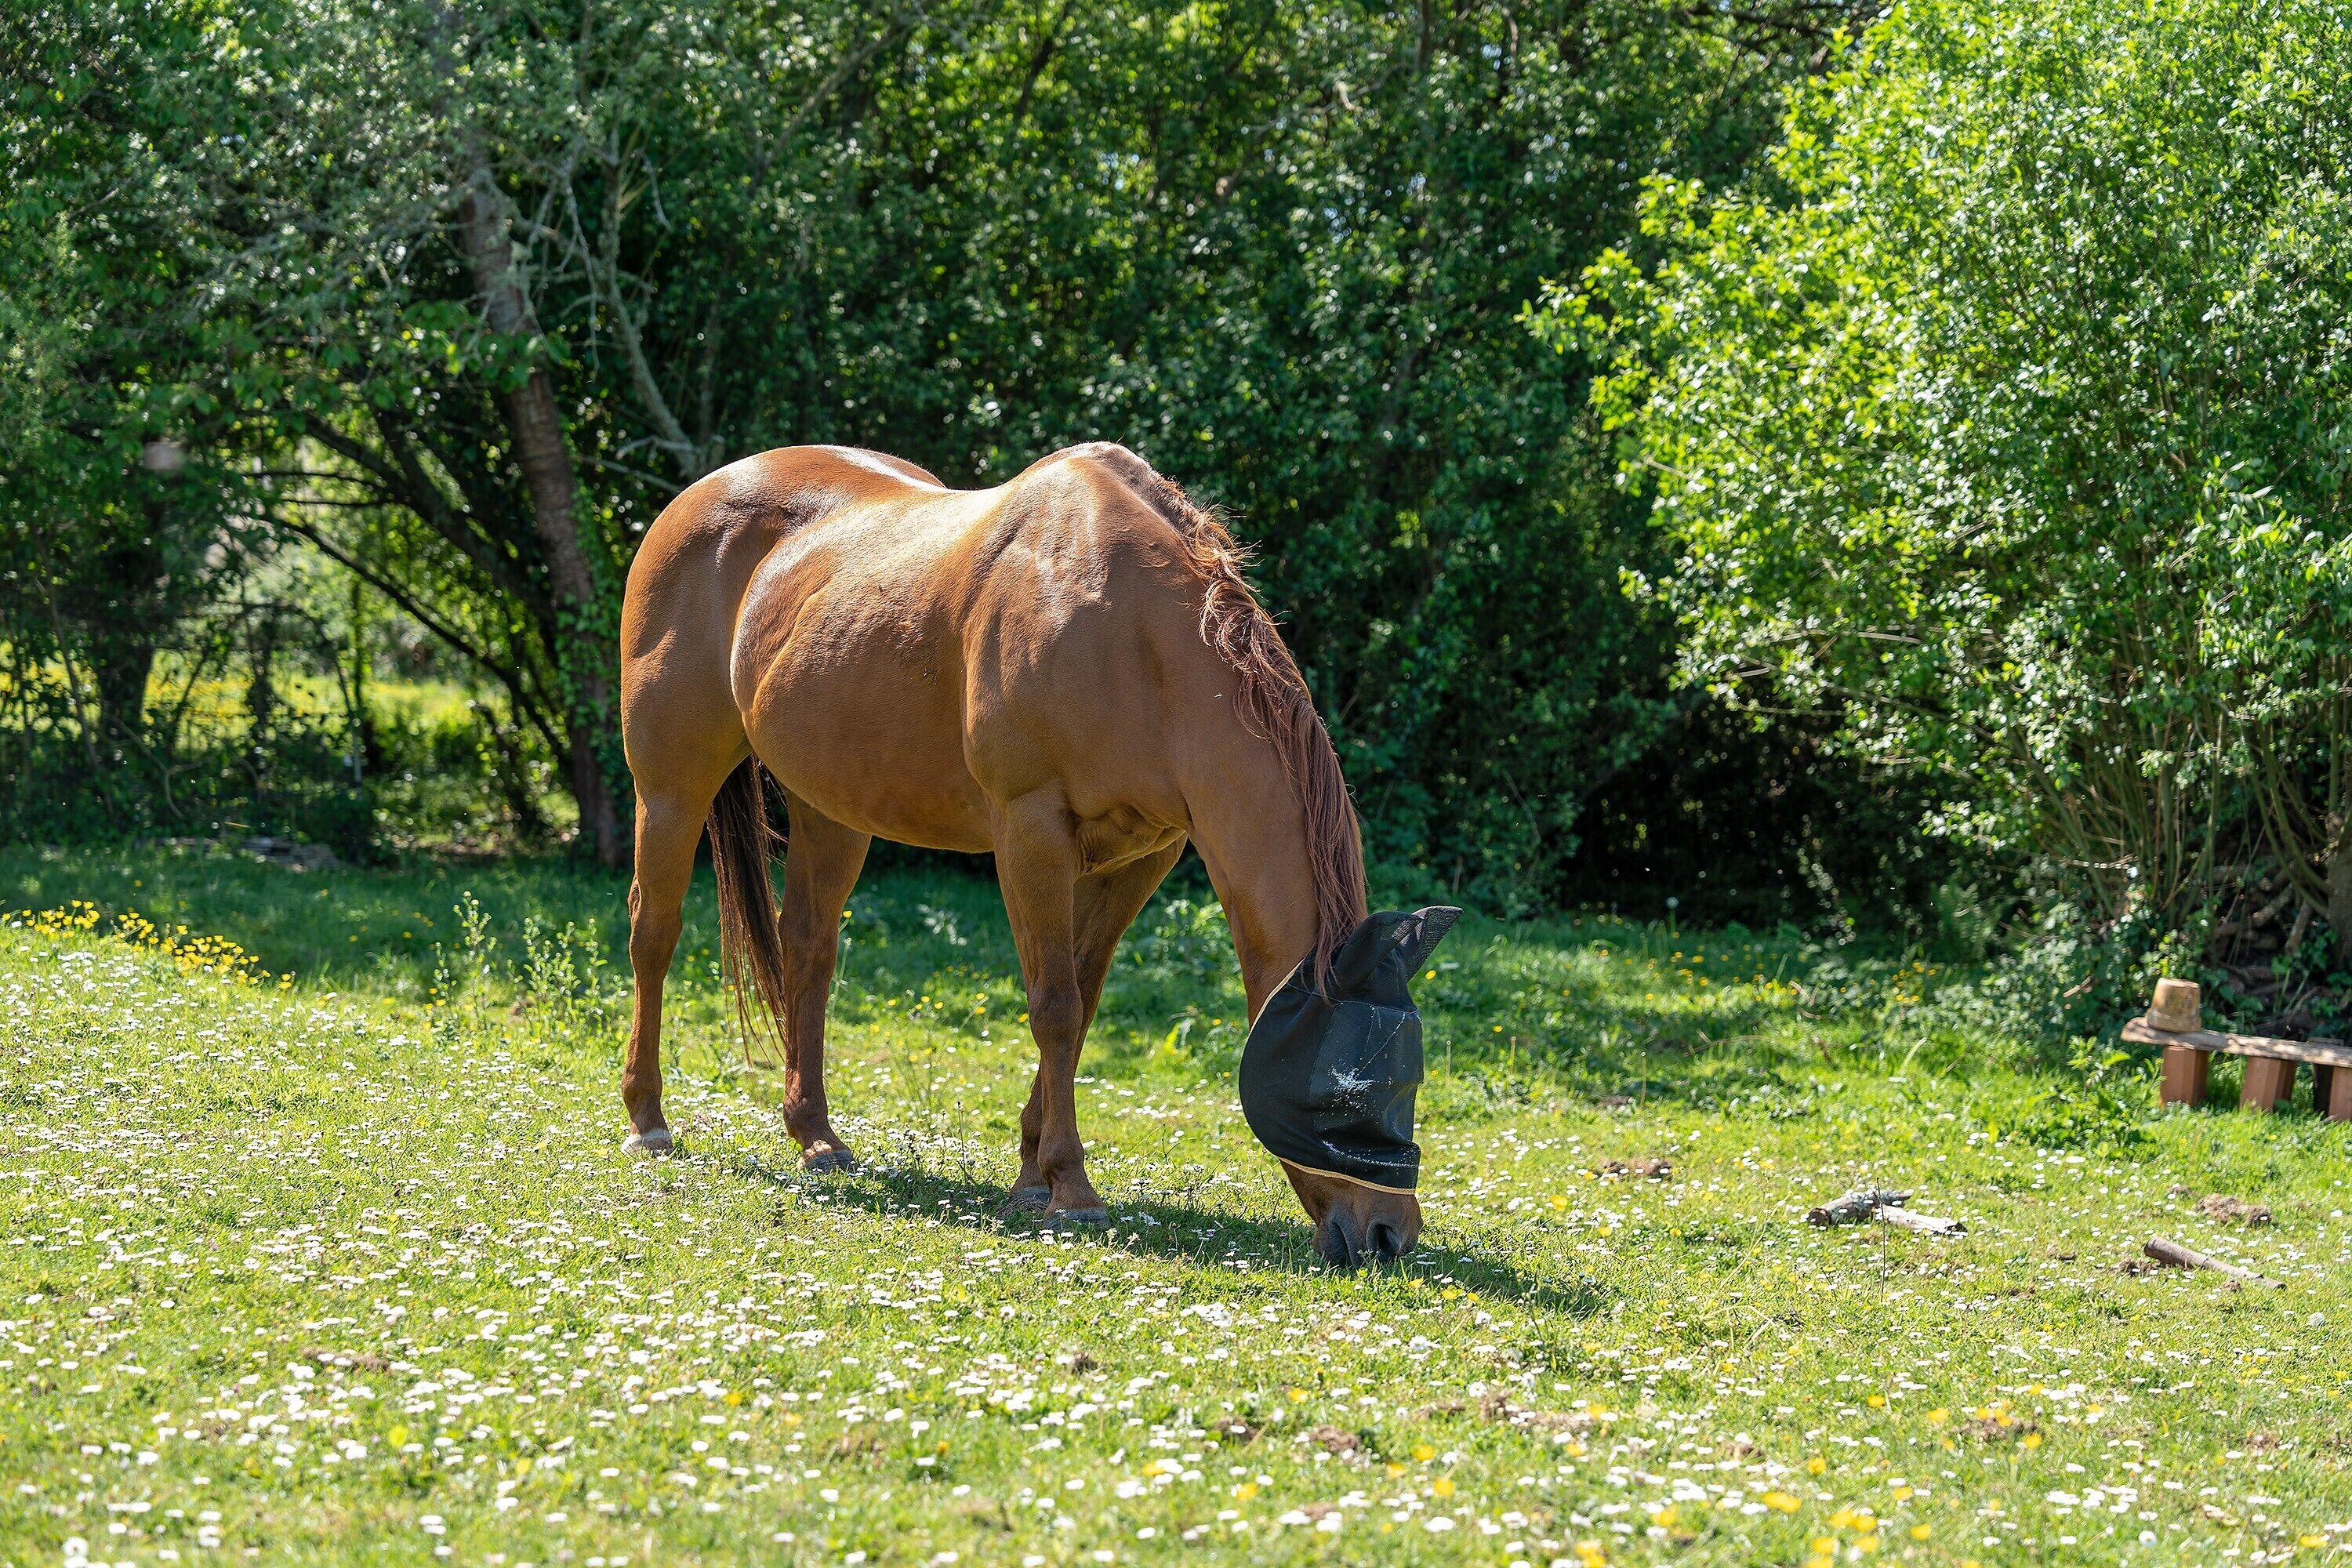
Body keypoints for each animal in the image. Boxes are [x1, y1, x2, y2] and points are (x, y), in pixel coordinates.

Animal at [616, 441, 1420, 1266]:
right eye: (1348, 1087)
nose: (1389, 1234)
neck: (1129, 637)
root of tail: (698, 497)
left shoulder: (1141, 859)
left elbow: (1083, 1001)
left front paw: (1033, 1173)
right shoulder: (1031, 833)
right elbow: (1055, 1007)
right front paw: (1070, 1187)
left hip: (831, 807)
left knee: (807, 948)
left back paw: (816, 1138)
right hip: (671, 790)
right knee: (655, 931)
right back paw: (649, 1121)